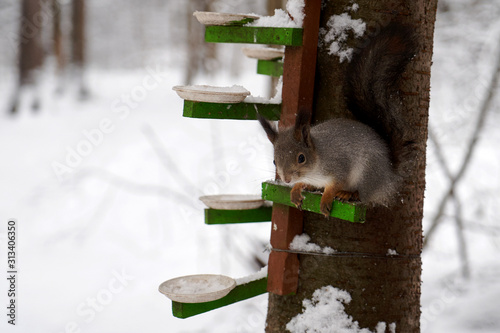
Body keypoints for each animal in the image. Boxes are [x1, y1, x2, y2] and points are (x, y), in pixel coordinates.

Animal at [258, 22, 418, 215]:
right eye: (274, 160)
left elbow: (335, 184)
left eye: (301, 158)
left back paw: (348, 194)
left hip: (366, 174)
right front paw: (296, 190)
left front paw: (326, 198)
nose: (287, 180)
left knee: (362, 193)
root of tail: (388, 175)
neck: (315, 166)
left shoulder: (339, 166)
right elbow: (303, 183)